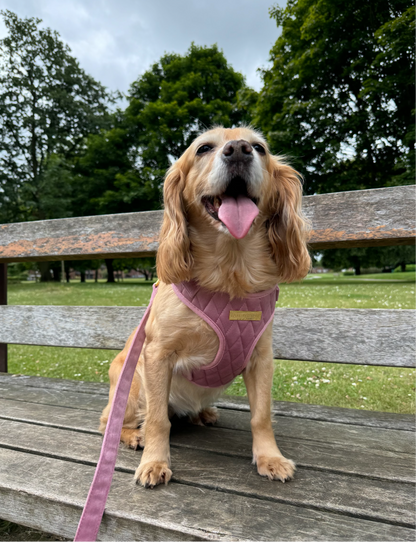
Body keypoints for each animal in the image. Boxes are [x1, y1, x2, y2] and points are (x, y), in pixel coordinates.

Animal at [99, 129, 310, 492]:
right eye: (204, 148)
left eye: (259, 148)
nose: (238, 150)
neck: (230, 271)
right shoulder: (156, 355)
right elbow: (158, 420)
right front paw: (155, 462)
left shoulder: (261, 358)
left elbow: (261, 416)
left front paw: (270, 457)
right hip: (131, 389)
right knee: (109, 423)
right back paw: (134, 436)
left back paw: (203, 414)